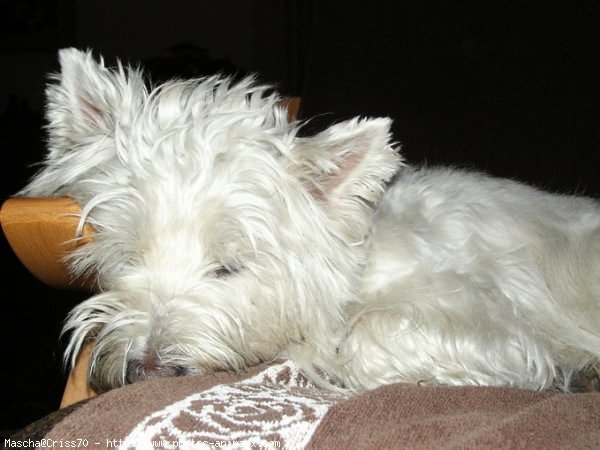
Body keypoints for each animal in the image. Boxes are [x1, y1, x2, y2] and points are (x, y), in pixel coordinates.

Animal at [19, 49, 600, 392]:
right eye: (128, 254)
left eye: (230, 267)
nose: (147, 371)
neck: (362, 261)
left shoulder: (500, 325)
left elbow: (364, 339)